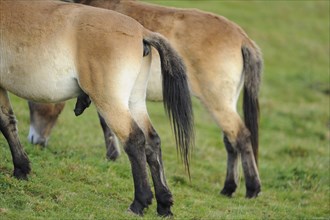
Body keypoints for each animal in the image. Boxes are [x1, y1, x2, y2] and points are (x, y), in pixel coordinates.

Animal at [0, 0, 193, 217]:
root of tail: (142, 31)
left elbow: (5, 123)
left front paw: (20, 168)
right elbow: (8, 121)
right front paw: (22, 169)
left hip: (111, 102)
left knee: (135, 140)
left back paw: (139, 203)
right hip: (134, 102)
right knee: (152, 141)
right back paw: (164, 204)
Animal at [27, 0, 262, 198]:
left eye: (32, 103)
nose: (35, 141)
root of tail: (242, 37)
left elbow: (105, 123)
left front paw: (112, 155)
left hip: (217, 102)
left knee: (241, 136)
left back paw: (252, 189)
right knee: (230, 141)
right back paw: (228, 188)